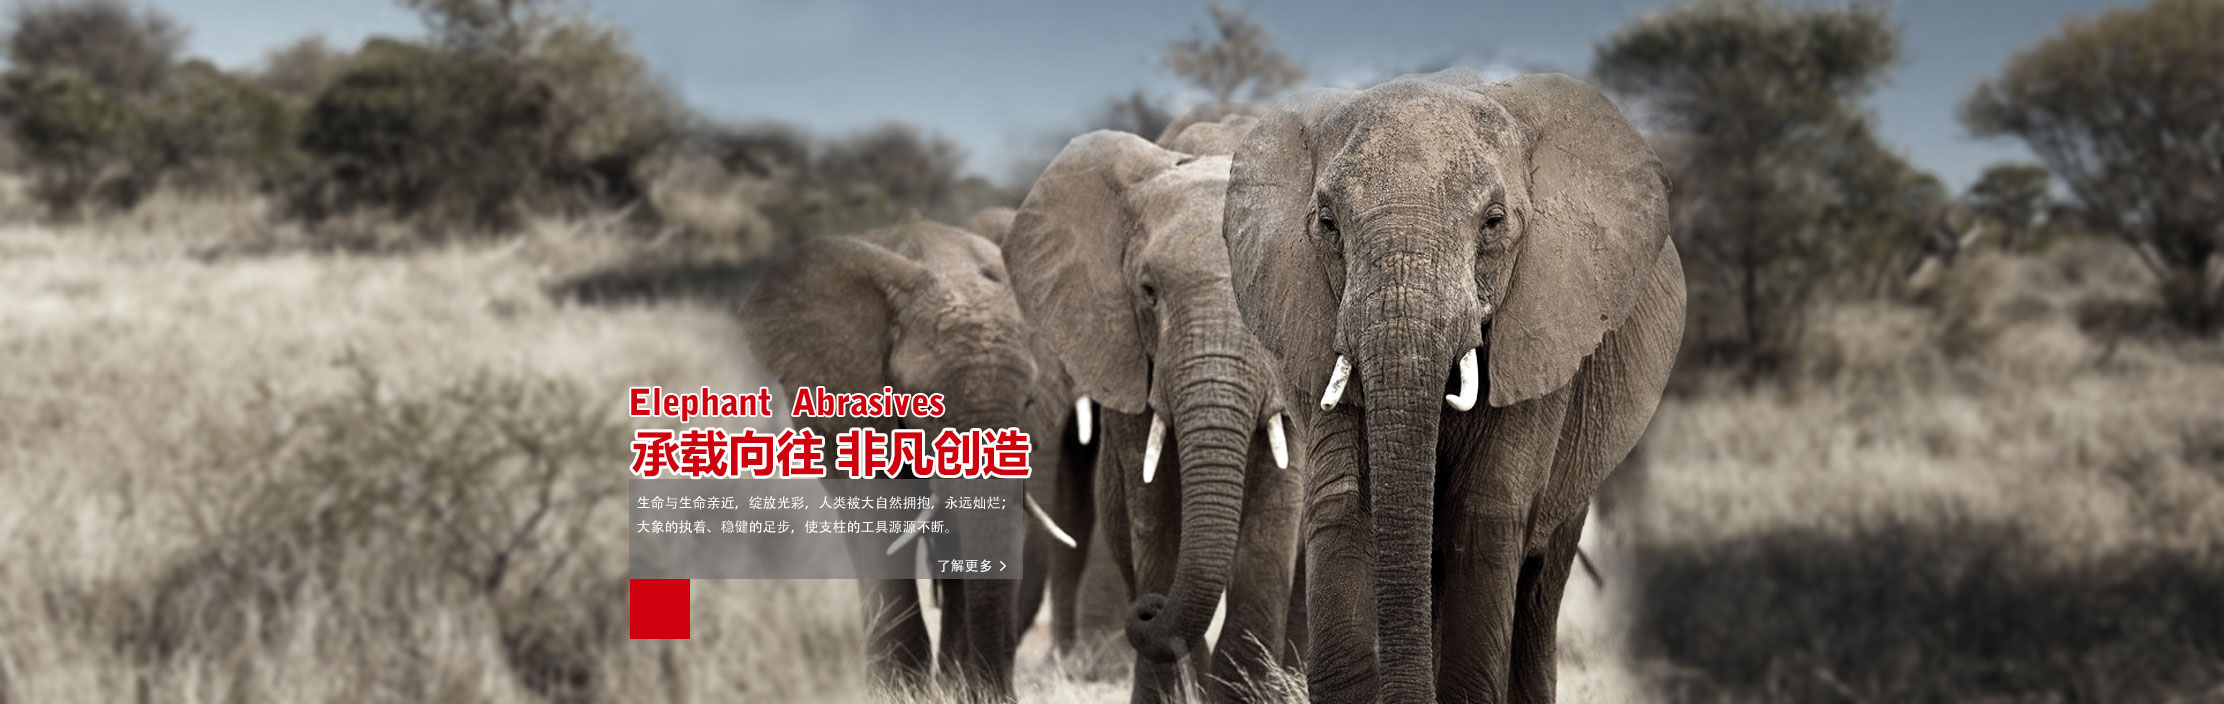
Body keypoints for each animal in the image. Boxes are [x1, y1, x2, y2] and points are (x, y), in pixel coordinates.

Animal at [737, 220, 1066, 699]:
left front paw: (960, 691)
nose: (999, 695)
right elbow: (882, 515)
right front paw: (902, 691)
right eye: (926, 405)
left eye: (1030, 401)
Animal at [1222, 69, 1686, 703]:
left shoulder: (1542, 324)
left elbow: (1485, 516)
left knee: (1539, 586)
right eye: (1327, 224)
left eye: (1494, 221)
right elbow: (1344, 503)